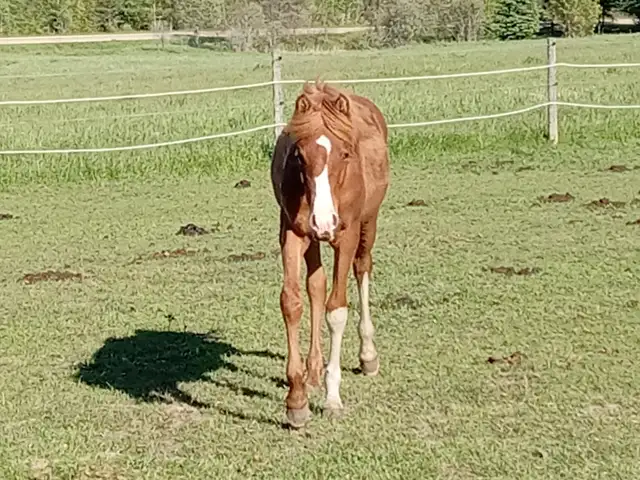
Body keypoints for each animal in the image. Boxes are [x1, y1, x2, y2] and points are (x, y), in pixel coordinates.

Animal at [270, 79, 390, 428]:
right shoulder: (292, 232)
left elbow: (336, 311)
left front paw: (332, 397)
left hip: (368, 224)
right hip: (311, 239)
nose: (324, 221)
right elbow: (293, 302)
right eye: (298, 154)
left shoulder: (345, 237)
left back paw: (367, 356)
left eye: (345, 153)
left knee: (362, 268)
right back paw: (312, 371)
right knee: (316, 287)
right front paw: (297, 400)